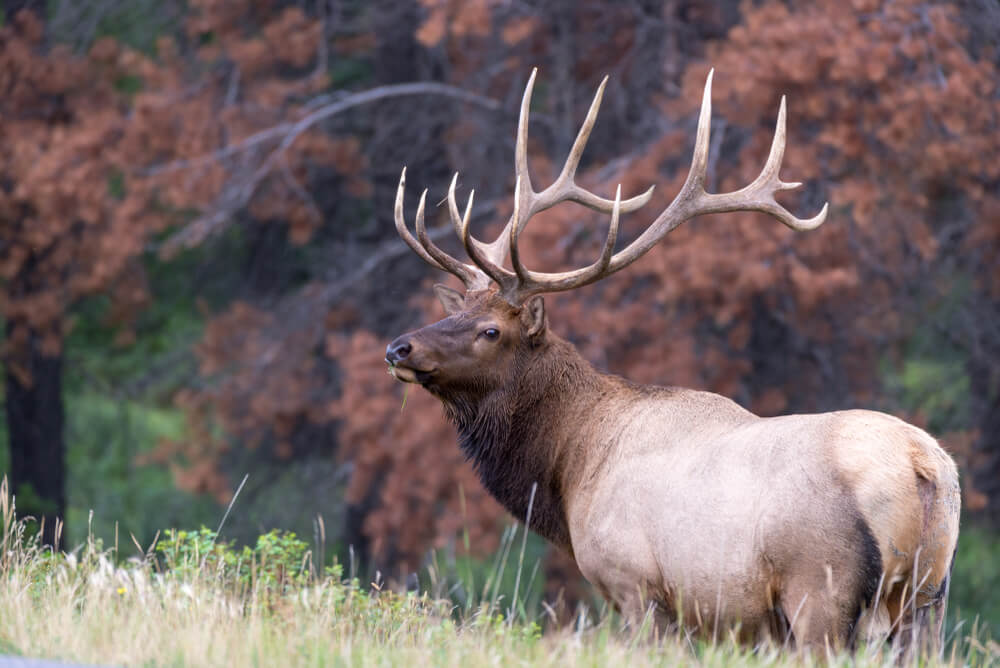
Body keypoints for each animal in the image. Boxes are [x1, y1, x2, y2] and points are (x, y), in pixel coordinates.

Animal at [384, 70, 960, 648]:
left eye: (491, 330)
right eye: (459, 312)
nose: (398, 347)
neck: (570, 469)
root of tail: (923, 465)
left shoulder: (635, 585)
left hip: (821, 588)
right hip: (926, 599)